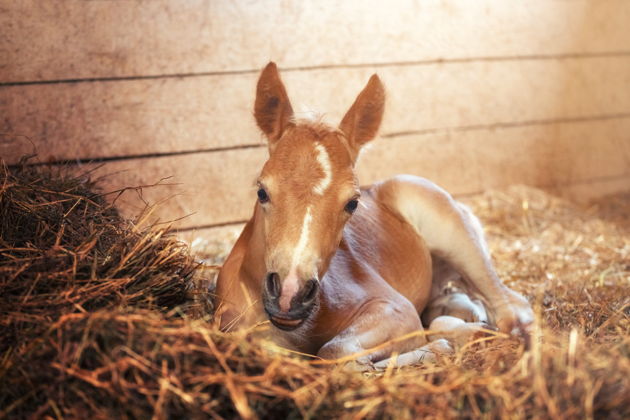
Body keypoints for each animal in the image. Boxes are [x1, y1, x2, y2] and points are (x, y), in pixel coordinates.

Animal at [216, 62, 532, 368]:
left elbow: (336, 351)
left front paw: (437, 349)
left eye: (352, 203)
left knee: (513, 310)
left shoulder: (396, 308)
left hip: (458, 239)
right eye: (262, 192)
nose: (289, 295)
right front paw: (439, 346)